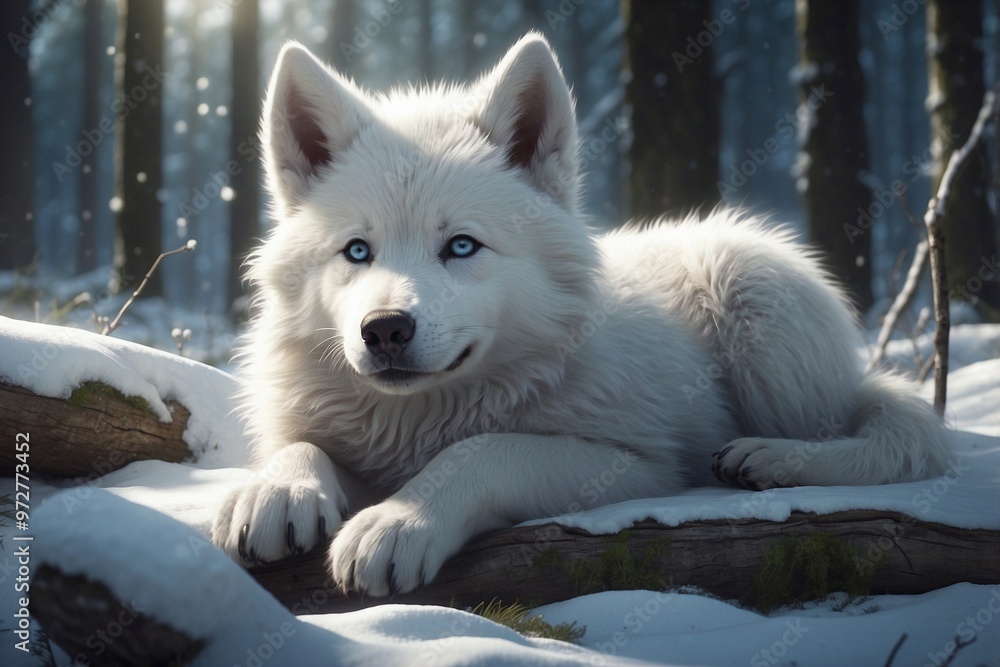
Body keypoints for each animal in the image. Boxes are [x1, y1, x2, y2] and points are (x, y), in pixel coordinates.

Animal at [211, 33, 951, 596]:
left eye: (461, 246)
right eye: (357, 251)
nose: (385, 329)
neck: (420, 418)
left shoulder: (638, 464)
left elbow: (483, 448)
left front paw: (398, 521)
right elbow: (300, 445)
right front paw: (275, 492)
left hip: (749, 292)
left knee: (855, 433)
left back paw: (769, 459)